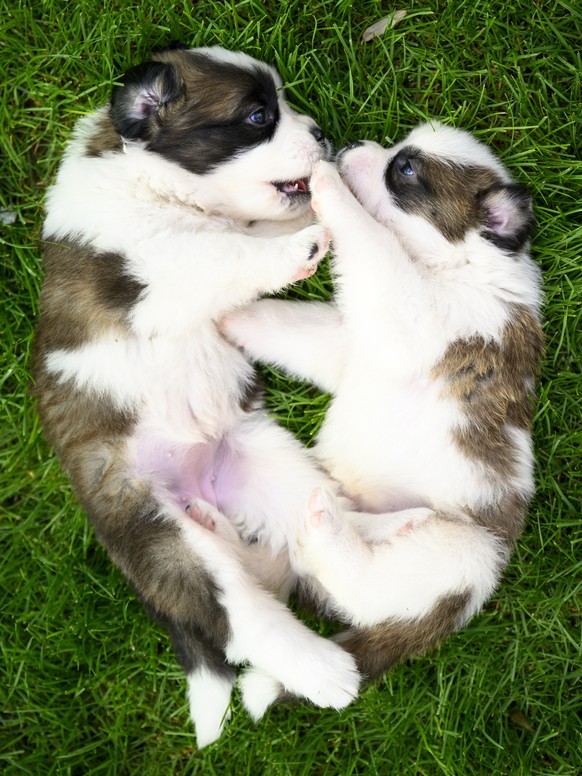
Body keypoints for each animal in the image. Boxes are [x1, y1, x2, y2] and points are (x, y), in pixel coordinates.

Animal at [33, 45, 364, 748]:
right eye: (259, 116)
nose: (322, 133)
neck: (154, 183)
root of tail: (197, 482)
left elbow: (237, 247)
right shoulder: (155, 272)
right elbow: (223, 255)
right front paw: (306, 238)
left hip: (273, 471)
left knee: (283, 563)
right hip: (165, 541)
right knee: (241, 617)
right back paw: (326, 673)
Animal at [225, 123, 548, 716]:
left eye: (406, 170)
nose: (351, 149)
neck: (455, 267)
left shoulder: (413, 313)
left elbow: (371, 243)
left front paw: (331, 188)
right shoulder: (351, 343)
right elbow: (293, 326)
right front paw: (235, 313)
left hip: (462, 556)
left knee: (362, 584)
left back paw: (328, 528)